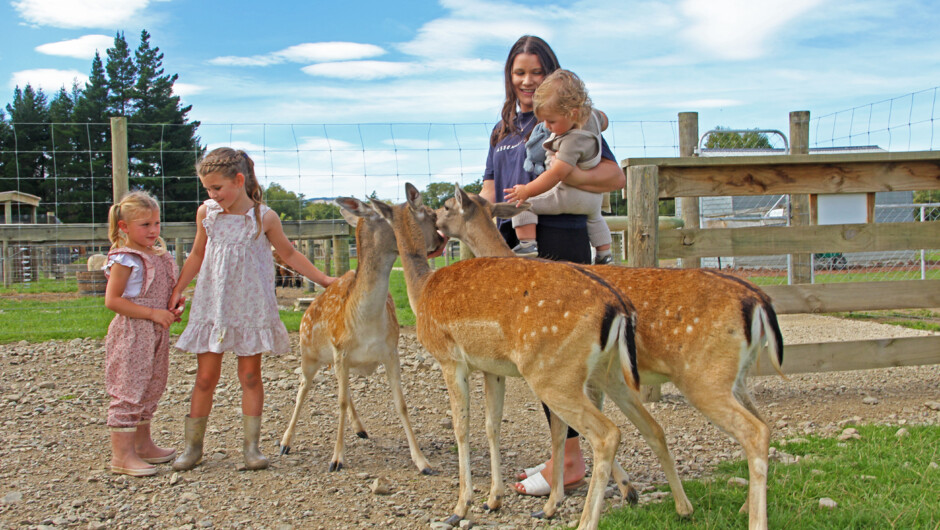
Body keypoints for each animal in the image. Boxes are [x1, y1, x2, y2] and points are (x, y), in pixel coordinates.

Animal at [280, 196, 440, 472]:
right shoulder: (341, 351)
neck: (367, 324)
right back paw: (285, 442)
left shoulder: (391, 352)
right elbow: (340, 402)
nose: (439, 238)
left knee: (341, 390)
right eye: (389, 213)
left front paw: (422, 461)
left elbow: (401, 403)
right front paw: (336, 459)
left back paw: (360, 429)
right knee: (302, 389)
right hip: (308, 353)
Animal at [372, 183, 692, 528]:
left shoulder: (449, 358)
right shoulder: (492, 367)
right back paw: (681, 507)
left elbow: (463, 426)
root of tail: (618, 306)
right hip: (608, 373)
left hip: (552, 372)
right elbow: (494, 424)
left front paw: (461, 507)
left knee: (606, 433)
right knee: (653, 428)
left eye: (443, 207)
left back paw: (587, 518)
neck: (421, 292)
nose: (438, 227)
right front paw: (494, 499)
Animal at [436, 186, 784, 528]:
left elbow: (575, 430)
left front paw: (583, 497)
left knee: (754, 431)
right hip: (736, 377)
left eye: (447, 206)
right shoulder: (600, 376)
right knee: (765, 424)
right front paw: (627, 491)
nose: (436, 224)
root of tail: (760, 301)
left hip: (704, 376)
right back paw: (743, 506)